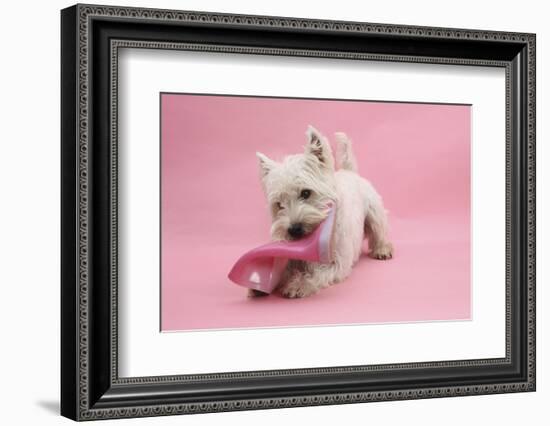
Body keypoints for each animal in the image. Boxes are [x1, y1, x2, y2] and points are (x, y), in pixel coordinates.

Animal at [254, 125, 392, 298]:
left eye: (306, 193)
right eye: (279, 205)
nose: (294, 230)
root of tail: (349, 171)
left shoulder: (337, 262)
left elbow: (317, 273)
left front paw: (298, 284)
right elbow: (283, 267)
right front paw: (260, 282)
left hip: (374, 212)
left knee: (379, 232)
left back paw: (382, 250)